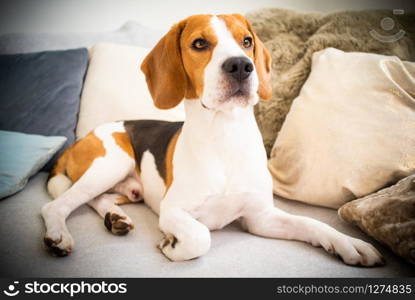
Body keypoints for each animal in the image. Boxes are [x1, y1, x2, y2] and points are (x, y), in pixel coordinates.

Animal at [40, 14, 386, 268]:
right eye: (199, 43)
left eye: (246, 41)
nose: (241, 65)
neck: (225, 136)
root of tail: (81, 139)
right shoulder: (173, 211)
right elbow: (201, 236)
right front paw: (172, 245)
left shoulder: (261, 219)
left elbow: (312, 224)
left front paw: (348, 243)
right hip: (111, 162)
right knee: (57, 205)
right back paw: (59, 236)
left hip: (122, 185)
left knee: (97, 199)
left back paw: (115, 218)